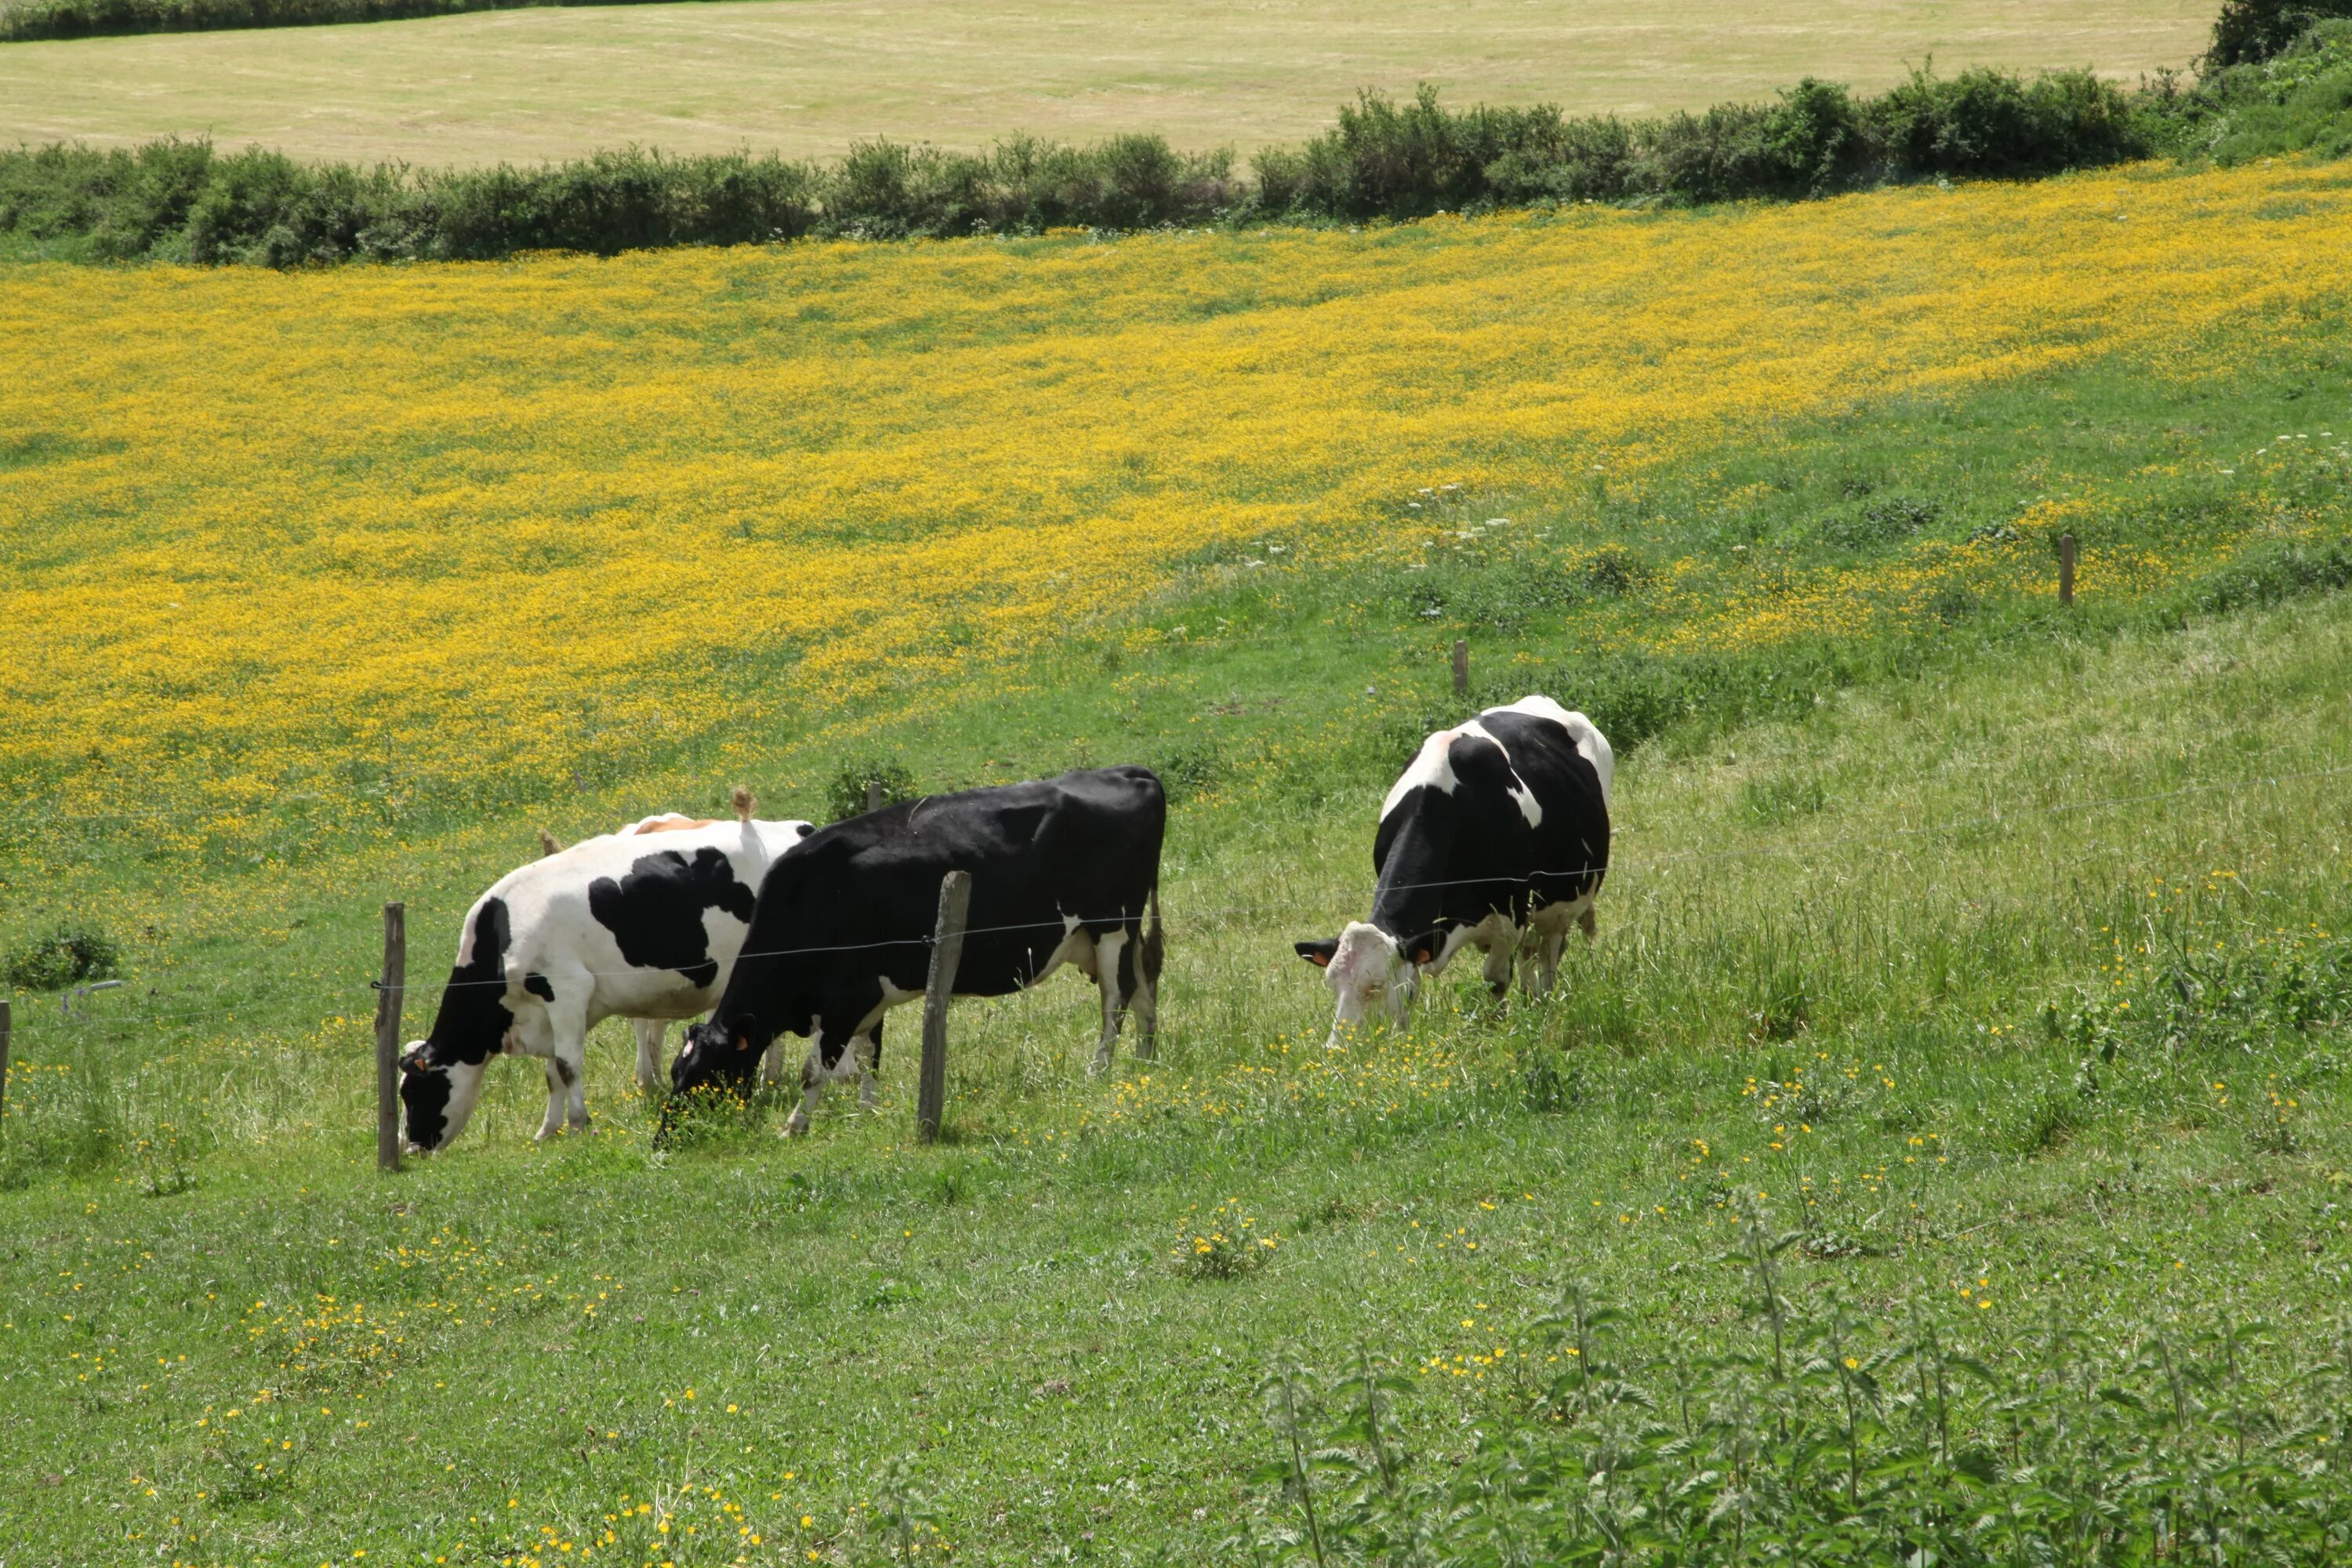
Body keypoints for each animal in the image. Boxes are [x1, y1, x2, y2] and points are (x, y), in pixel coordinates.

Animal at [397, 799, 818, 1152]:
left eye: (413, 1092)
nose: (411, 1148)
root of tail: (797, 828)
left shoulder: (567, 990)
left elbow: (567, 1067)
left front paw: (578, 1124)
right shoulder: (550, 1012)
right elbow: (551, 1073)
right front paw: (548, 1130)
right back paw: (769, 1080)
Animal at [673, 766, 1167, 1133]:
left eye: (704, 1077)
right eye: (677, 1073)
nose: (668, 1137)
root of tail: (1128, 771)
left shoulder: (847, 998)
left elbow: (817, 1068)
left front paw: (795, 1125)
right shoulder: (867, 995)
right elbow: (869, 1055)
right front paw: (867, 1111)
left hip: (1111, 925)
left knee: (1116, 998)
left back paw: (1099, 1070)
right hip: (1110, 933)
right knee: (1143, 986)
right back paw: (1144, 1063)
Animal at [1298, 695, 1609, 1044]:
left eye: (1374, 986)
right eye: (1332, 984)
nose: (1339, 1049)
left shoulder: (1510, 919)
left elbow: (1495, 981)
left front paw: (1497, 1031)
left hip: (1560, 905)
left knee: (1548, 953)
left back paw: (1542, 1002)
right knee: (1531, 954)